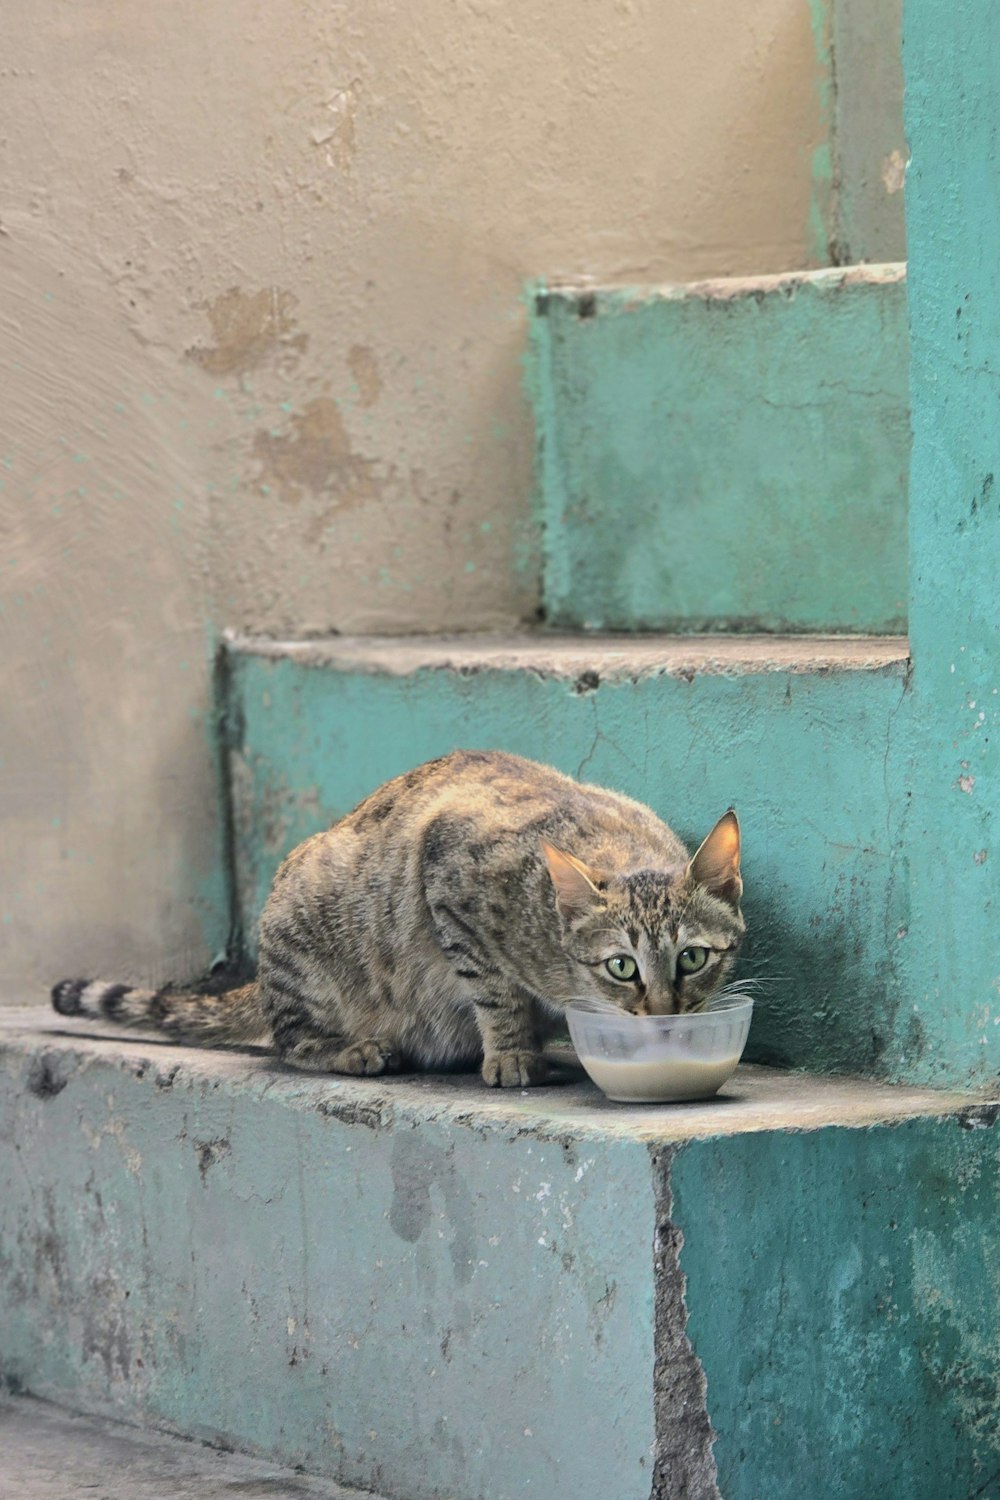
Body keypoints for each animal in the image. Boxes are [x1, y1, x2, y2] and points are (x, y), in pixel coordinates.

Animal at [52, 750, 743, 1092]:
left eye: (692, 958)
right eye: (621, 967)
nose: (663, 1015)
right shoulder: (448, 879)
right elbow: (494, 991)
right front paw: (512, 1052)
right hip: (304, 932)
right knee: (288, 1041)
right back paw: (352, 1049)